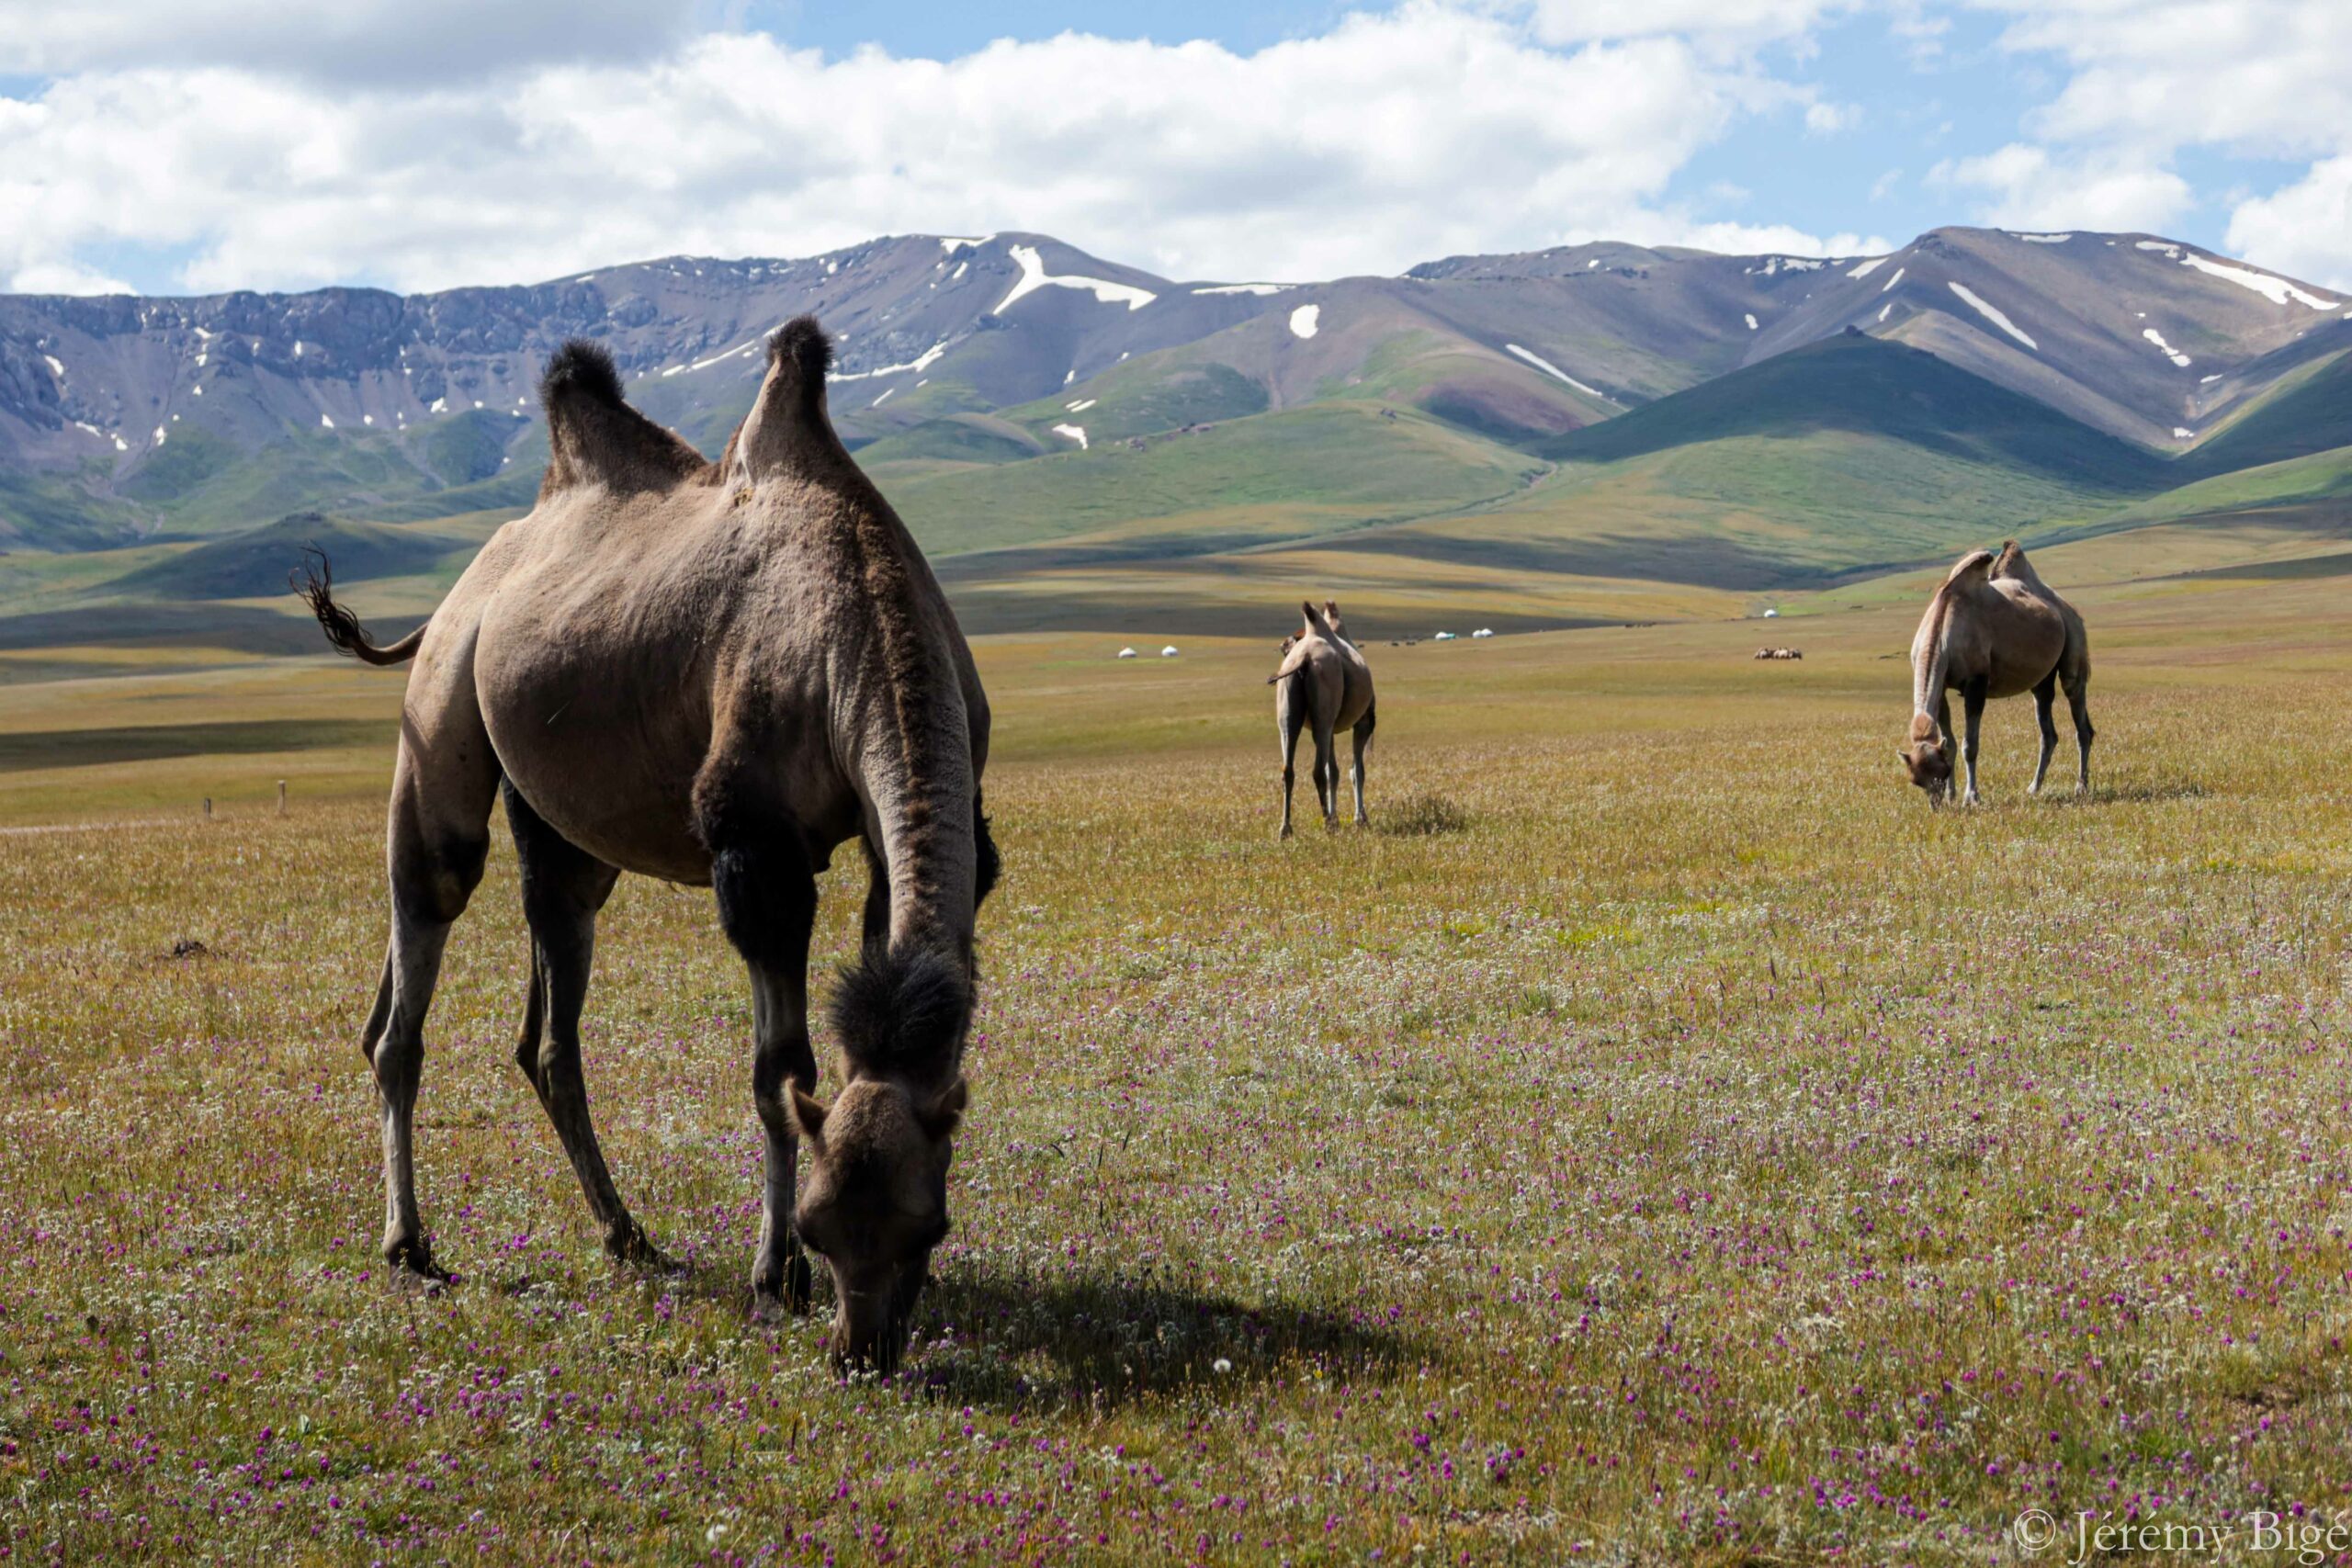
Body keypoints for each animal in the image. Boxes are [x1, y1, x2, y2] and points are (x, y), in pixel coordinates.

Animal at [294, 321, 992, 1372]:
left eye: (930, 1225)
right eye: (823, 1227)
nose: (862, 1352)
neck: (857, 605)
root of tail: (465, 586)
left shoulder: (882, 843)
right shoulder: (755, 847)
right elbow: (780, 1069)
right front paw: (772, 1276)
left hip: (564, 835)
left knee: (544, 1027)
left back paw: (627, 1234)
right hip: (440, 720)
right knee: (413, 970)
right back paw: (410, 1245)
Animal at [1270, 602, 1374, 841]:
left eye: (1286, 645)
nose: (1282, 646)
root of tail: (1305, 658)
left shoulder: (1331, 728)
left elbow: (1334, 771)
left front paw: (1339, 817)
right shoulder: (1364, 722)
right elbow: (1357, 771)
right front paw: (1360, 819)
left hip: (1290, 714)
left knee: (1288, 768)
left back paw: (1285, 829)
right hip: (1325, 711)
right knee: (1317, 771)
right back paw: (1328, 825)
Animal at [1891, 540, 2098, 808]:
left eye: (1942, 773)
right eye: (1916, 780)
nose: (1935, 805)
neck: (1943, 627)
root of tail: (2067, 608)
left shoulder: (1976, 682)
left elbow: (1970, 745)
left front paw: (1971, 797)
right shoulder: (1943, 686)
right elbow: (1950, 742)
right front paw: (1952, 796)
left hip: (2074, 643)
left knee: (2080, 718)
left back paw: (2080, 787)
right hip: (2042, 679)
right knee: (2048, 731)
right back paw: (2034, 788)